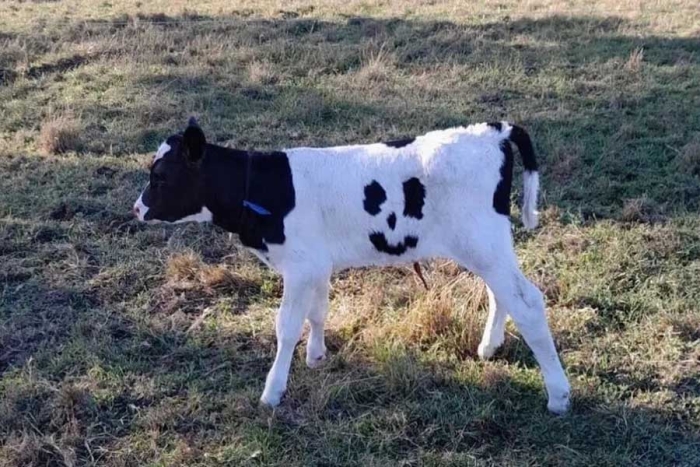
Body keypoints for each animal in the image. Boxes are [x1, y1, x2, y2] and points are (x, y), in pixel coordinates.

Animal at [134, 119, 572, 414]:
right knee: (505, 294)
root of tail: (493, 130)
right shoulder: (316, 263)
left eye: (161, 176)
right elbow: (317, 311)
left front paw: (272, 392)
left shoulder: (299, 266)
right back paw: (489, 347)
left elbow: (286, 327)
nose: (137, 208)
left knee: (528, 302)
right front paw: (316, 356)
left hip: (482, 242)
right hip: (486, 246)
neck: (264, 188)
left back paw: (559, 395)